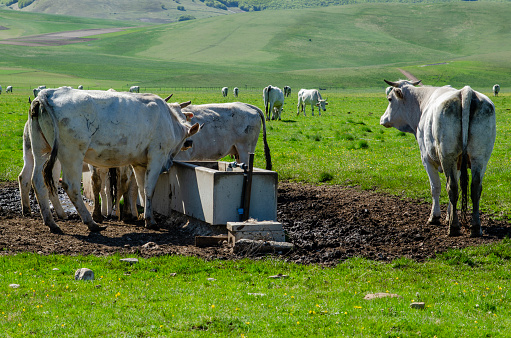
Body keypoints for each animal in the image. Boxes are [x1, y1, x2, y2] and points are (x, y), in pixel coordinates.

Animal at [27, 86, 200, 232]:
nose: (190, 143)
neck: (170, 122)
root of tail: (47, 93)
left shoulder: (139, 164)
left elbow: (142, 189)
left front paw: (145, 216)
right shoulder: (157, 157)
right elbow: (149, 189)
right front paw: (150, 221)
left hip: (41, 150)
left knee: (37, 181)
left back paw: (51, 222)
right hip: (72, 153)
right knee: (71, 185)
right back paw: (91, 223)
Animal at [384, 79, 496, 238]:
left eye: (390, 99)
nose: (382, 119)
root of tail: (466, 92)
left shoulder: (427, 160)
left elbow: (435, 188)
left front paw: (435, 217)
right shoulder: (458, 165)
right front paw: (449, 215)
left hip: (448, 156)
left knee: (452, 188)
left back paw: (453, 227)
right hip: (479, 158)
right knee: (475, 188)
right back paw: (475, 227)